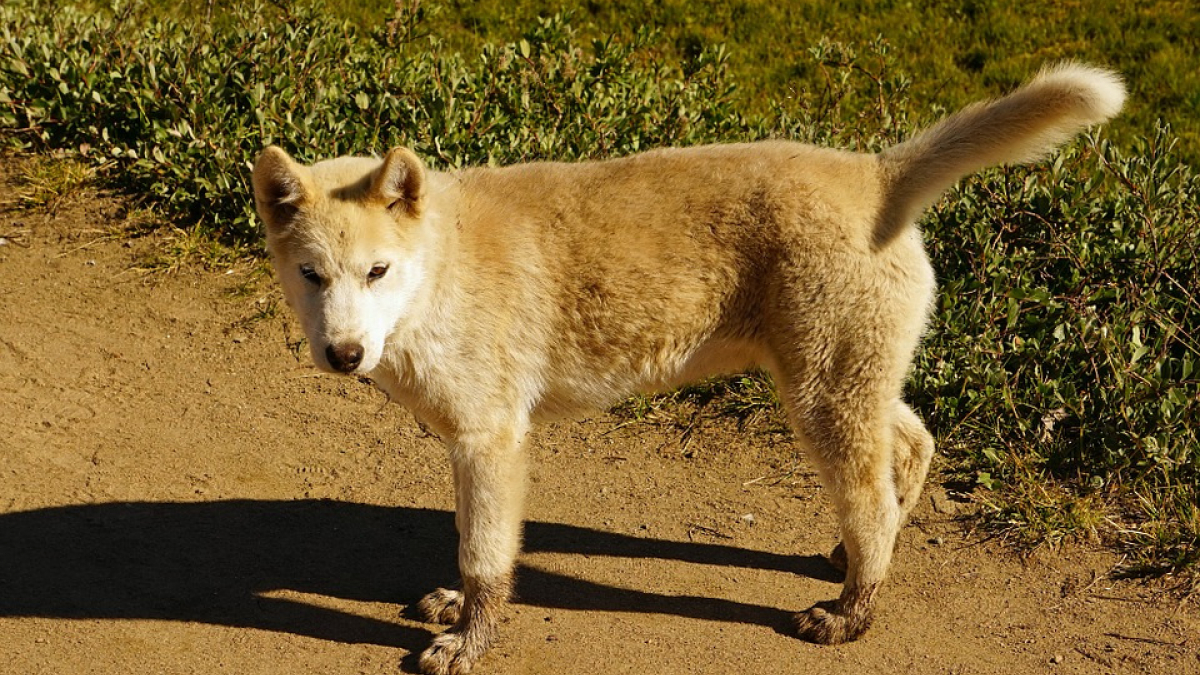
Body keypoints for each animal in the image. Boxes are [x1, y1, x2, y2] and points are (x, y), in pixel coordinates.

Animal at [250, 64, 1123, 672]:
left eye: (378, 271)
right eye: (311, 275)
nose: (344, 355)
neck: (441, 265)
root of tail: (875, 175)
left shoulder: (492, 440)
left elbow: (486, 554)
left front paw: (470, 639)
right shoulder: (472, 446)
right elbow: (475, 541)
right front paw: (457, 609)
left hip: (821, 392)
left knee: (873, 498)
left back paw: (850, 611)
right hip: (851, 374)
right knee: (909, 447)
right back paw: (854, 561)